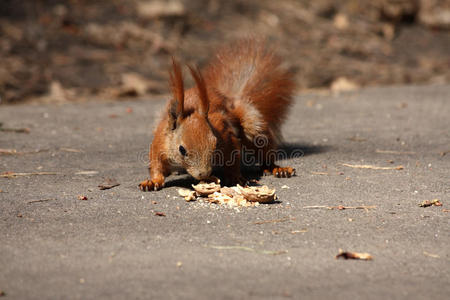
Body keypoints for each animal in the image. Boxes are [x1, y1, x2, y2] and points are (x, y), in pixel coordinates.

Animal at [139, 39, 298, 192]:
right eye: (182, 150)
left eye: (214, 144)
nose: (203, 174)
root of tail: (228, 97)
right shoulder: (160, 143)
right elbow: (156, 164)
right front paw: (153, 181)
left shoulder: (225, 134)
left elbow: (233, 158)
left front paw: (235, 177)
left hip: (253, 127)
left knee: (264, 152)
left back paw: (277, 168)